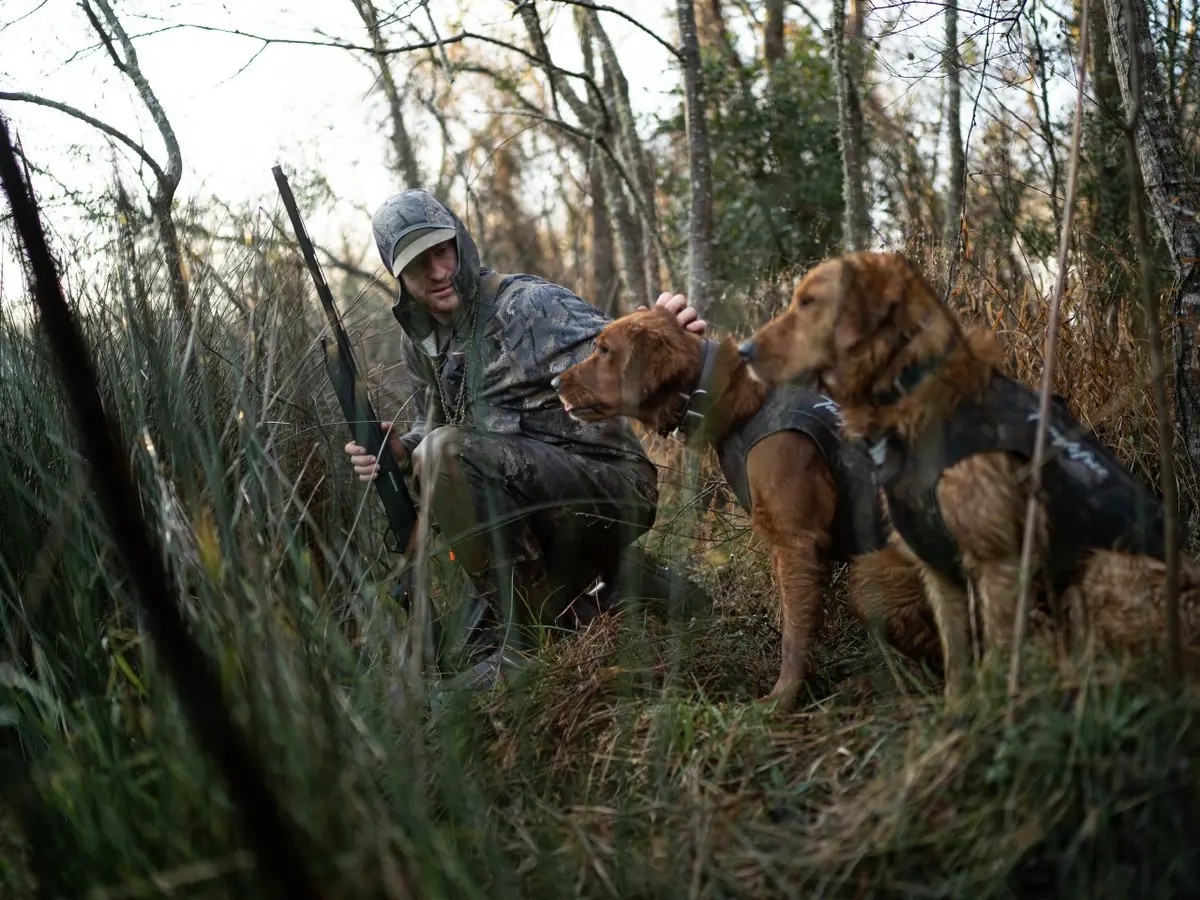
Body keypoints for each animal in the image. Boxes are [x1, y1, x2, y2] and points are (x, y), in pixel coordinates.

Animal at [549, 309, 936, 705]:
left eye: (605, 350)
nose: (553, 381)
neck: (740, 402)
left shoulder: (797, 540)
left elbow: (795, 633)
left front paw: (781, 699)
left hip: (870, 578)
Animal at [739, 254, 1200, 696]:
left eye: (808, 302)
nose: (743, 350)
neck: (914, 395)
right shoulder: (939, 571)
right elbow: (957, 662)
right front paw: (957, 715)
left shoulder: (1000, 563)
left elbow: (996, 658)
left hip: (1105, 567)